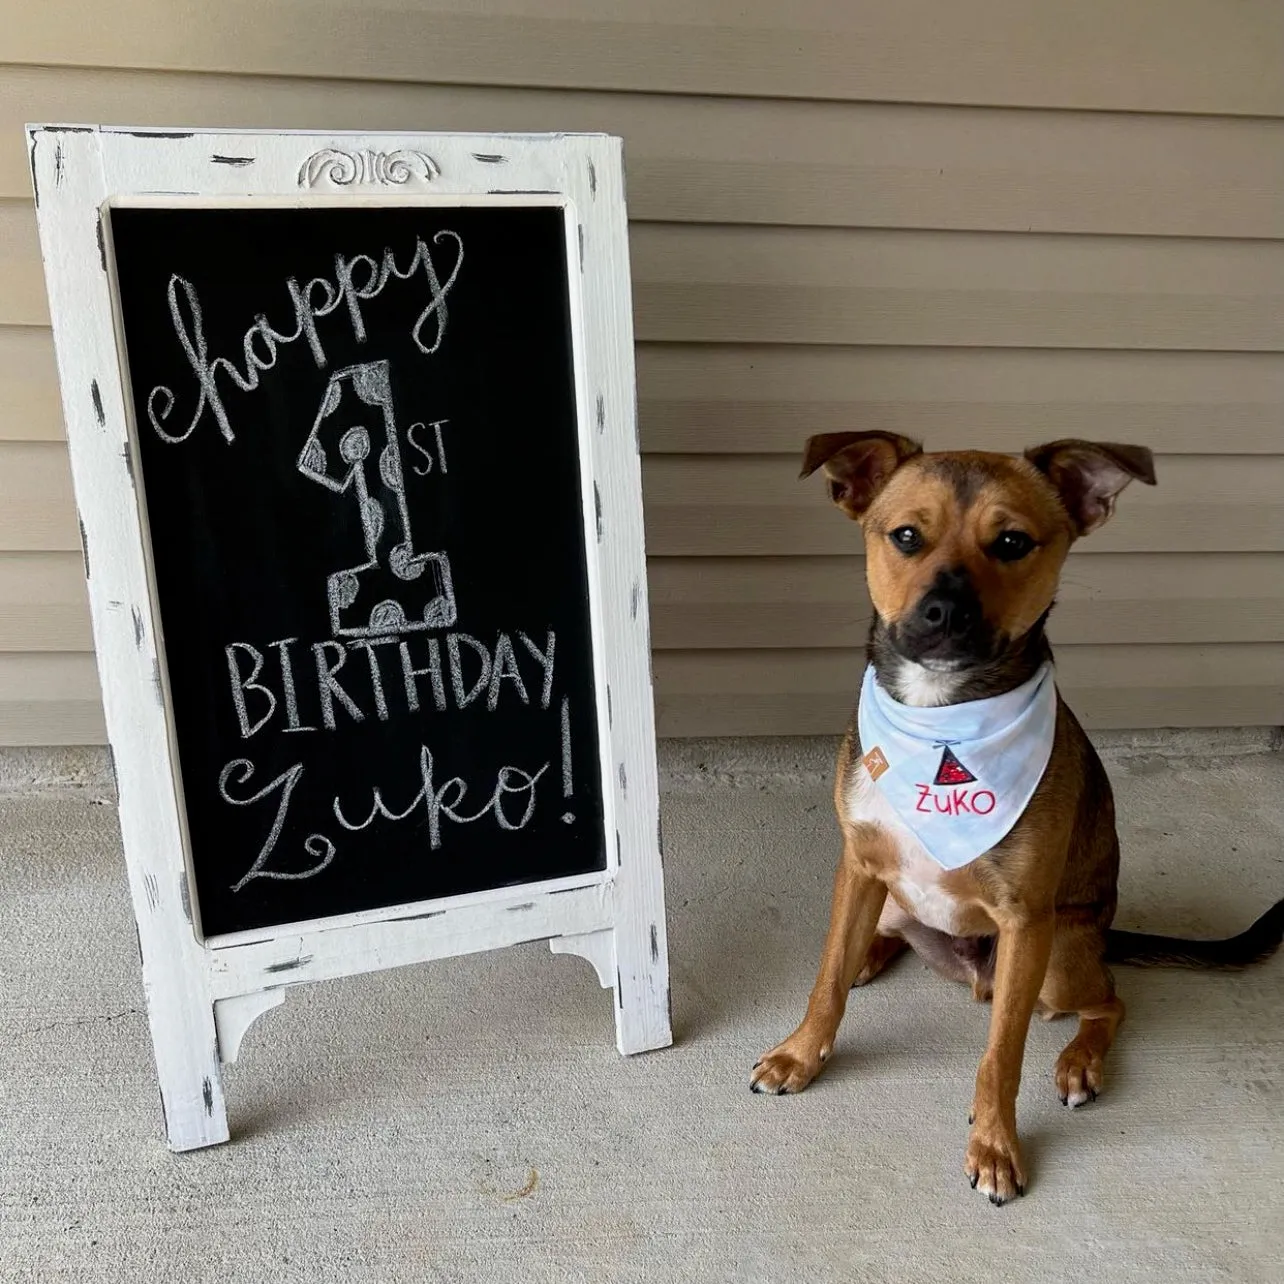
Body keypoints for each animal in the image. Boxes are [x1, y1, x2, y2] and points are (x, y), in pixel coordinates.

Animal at [749, 433, 1284, 1201]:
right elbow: (824, 981)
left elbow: (1001, 1055)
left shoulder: (1026, 921)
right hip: (895, 901)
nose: (945, 612)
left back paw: (1079, 1060)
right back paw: (870, 955)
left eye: (1011, 542)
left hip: (1056, 960)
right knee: (876, 940)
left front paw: (996, 1145)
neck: (942, 723)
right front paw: (800, 1053)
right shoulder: (858, 863)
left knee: (1109, 1001)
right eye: (905, 536)